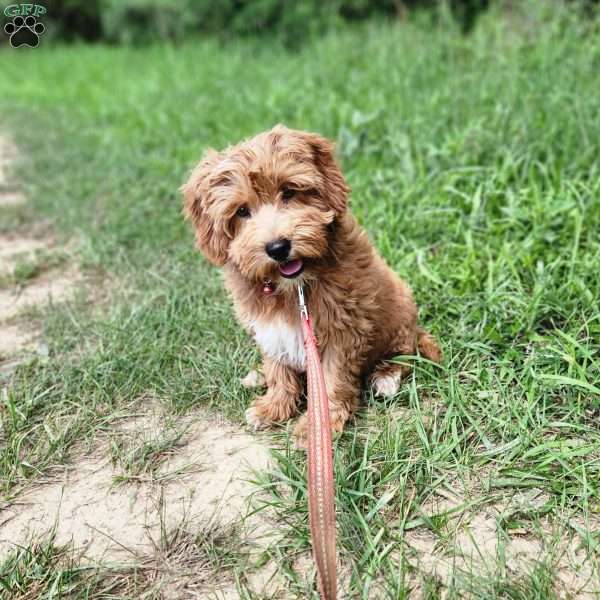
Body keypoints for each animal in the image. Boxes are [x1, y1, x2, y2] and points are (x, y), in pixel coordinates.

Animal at [180, 125, 438, 446]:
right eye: (241, 211)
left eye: (289, 192)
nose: (277, 247)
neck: (294, 287)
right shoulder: (268, 327)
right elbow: (278, 367)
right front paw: (273, 406)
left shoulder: (343, 329)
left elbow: (331, 380)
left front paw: (315, 429)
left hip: (400, 317)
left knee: (404, 353)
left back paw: (386, 377)